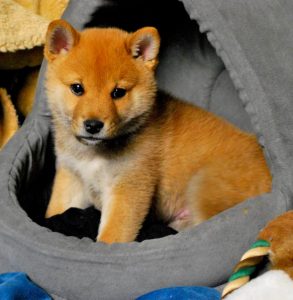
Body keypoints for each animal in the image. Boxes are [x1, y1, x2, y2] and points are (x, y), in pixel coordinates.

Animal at [44, 19, 272, 244]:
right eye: (77, 88)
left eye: (118, 92)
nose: (93, 125)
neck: (94, 153)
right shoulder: (71, 176)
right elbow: (56, 209)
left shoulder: (128, 187)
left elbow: (111, 237)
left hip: (203, 185)